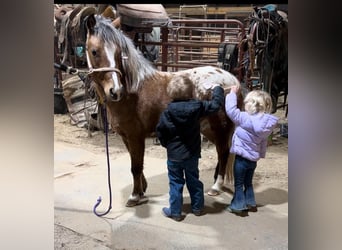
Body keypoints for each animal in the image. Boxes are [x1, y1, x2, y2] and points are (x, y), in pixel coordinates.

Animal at [84, 13, 242, 206]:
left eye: (118, 53)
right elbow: (137, 165)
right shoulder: (126, 137)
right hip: (210, 130)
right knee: (222, 153)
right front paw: (142, 190)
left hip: (219, 128)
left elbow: (136, 167)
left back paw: (216, 187)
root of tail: (233, 81)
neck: (132, 92)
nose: (115, 91)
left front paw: (134, 196)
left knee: (223, 152)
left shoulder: (135, 136)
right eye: (94, 51)